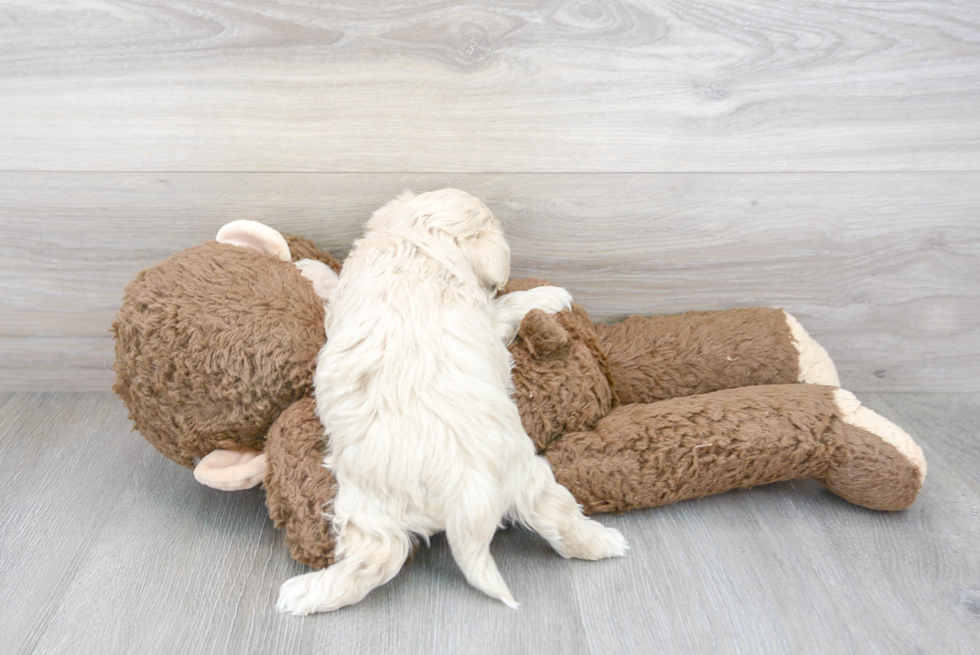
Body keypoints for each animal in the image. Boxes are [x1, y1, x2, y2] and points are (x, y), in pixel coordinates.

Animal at [276, 188, 628, 616]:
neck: (418, 246)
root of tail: (465, 489)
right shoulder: (487, 315)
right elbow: (507, 305)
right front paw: (548, 294)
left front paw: (311, 269)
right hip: (486, 479)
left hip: (391, 496)